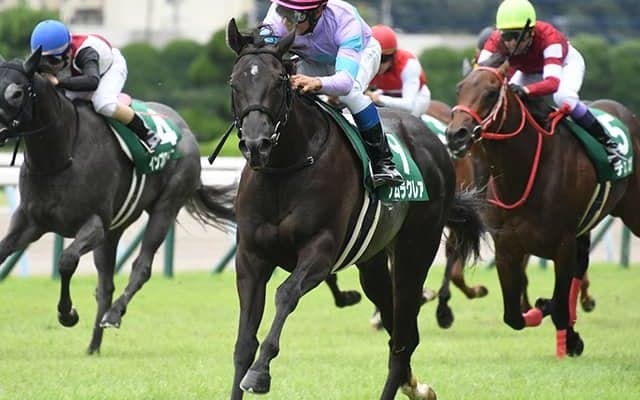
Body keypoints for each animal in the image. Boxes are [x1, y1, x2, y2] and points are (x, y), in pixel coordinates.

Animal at [0, 52, 235, 354]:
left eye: (16, 93)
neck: (61, 155)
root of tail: (185, 128)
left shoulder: (94, 224)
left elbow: (66, 261)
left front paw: (68, 314)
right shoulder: (30, 222)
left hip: (166, 206)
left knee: (141, 267)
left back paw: (113, 315)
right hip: (115, 228)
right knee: (105, 285)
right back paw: (93, 347)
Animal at [226, 19, 485, 399]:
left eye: (279, 81)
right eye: (236, 82)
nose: (256, 144)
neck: (284, 169)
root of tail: (433, 142)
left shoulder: (320, 251)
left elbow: (286, 294)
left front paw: (260, 373)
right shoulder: (251, 257)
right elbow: (244, 343)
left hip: (414, 252)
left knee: (405, 337)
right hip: (373, 262)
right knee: (397, 330)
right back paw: (416, 385)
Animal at [446, 62, 640, 357]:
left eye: (491, 93)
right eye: (460, 88)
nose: (456, 134)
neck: (525, 173)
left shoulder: (563, 245)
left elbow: (558, 304)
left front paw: (556, 321)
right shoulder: (506, 248)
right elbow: (514, 316)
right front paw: (560, 327)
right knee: (581, 267)